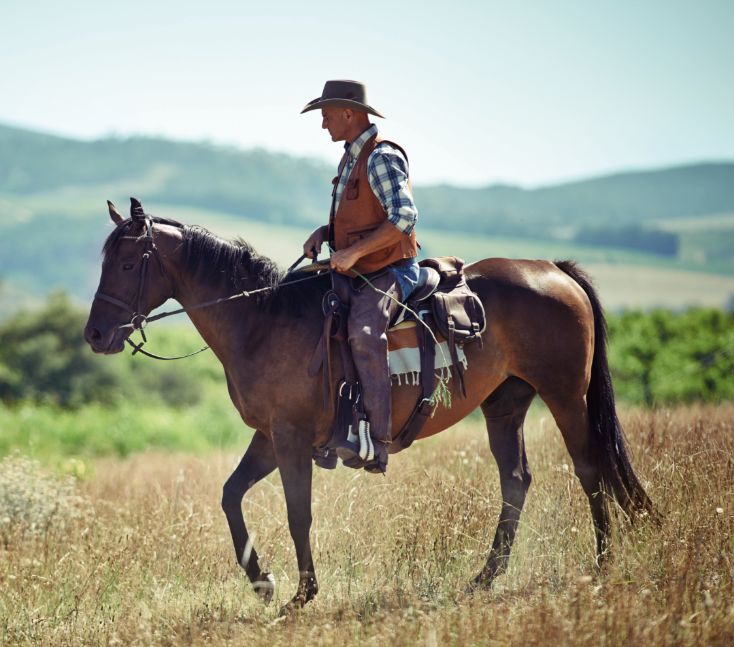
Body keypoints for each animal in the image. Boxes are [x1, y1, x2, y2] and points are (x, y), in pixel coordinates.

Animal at [85, 200, 656, 612]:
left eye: (129, 262)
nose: (94, 335)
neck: (263, 319)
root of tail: (553, 269)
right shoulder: (269, 436)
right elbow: (230, 496)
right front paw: (263, 582)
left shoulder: (290, 438)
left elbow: (298, 513)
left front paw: (301, 595)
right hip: (505, 404)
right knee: (516, 480)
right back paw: (483, 579)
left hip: (565, 395)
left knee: (589, 469)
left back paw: (602, 565)